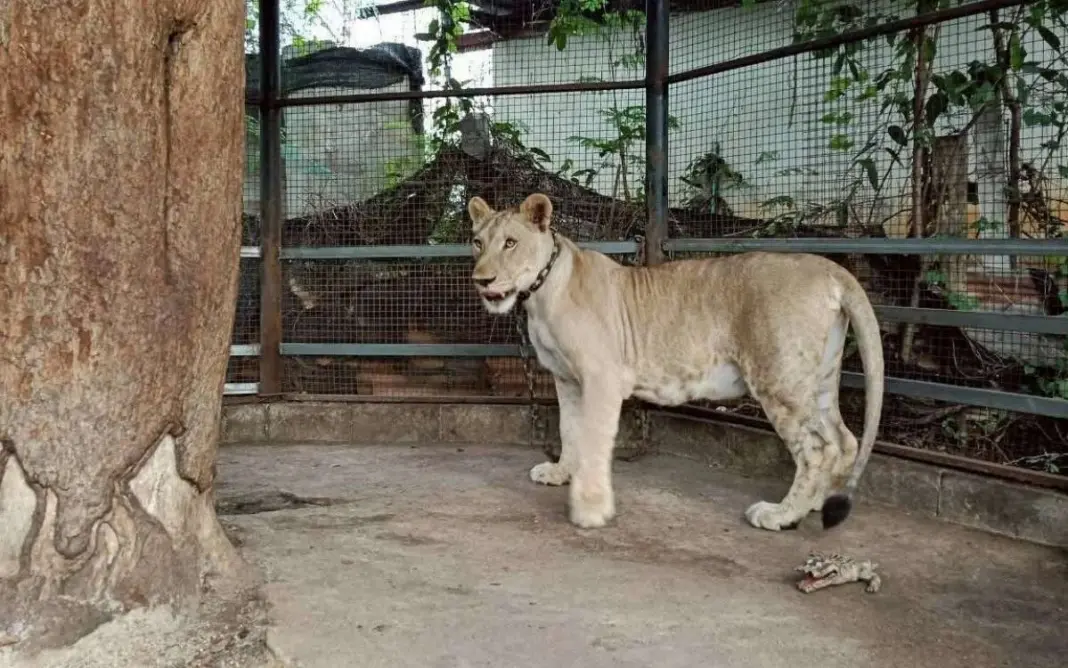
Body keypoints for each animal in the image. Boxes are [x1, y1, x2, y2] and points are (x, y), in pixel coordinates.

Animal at [468, 192, 885, 532]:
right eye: (477, 242)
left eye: (510, 243)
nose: (480, 280)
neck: (540, 293)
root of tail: (830, 268)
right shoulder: (567, 380)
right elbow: (569, 431)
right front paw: (560, 473)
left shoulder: (603, 378)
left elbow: (593, 440)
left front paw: (590, 509)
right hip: (818, 378)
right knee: (843, 439)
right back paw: (816, 503)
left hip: (779, 379)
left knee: (817, 449)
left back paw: (782, 514)